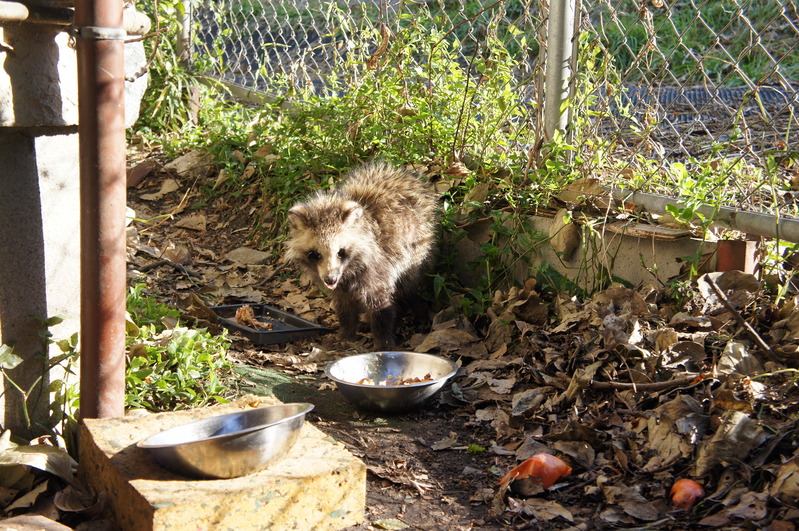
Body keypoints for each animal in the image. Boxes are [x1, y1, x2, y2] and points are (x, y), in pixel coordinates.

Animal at [288, 164, 438, 352]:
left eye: (340, 251)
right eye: (315, 254)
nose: (330, 279)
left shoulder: (379, 264)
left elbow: (380, 304)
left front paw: (383, 340)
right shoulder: (340, 283)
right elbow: (345, 305)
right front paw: (346, 332)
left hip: (417, 247)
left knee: (408, 283)